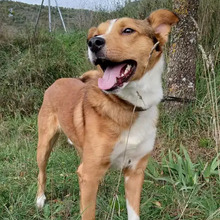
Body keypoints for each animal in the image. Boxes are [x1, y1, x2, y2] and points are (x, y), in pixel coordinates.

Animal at [35, 9, 179, 219]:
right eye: (97, 34)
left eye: (128, 30)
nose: (93, 42)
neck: (131, 106)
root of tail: (57, 81)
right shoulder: (89, 175)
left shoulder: (135, 172)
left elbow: (133, 213)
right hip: (44, 145)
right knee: (42, 172)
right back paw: (39, 199)